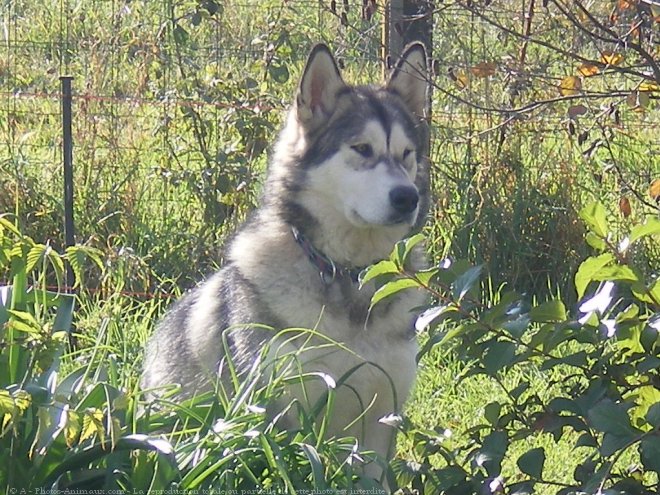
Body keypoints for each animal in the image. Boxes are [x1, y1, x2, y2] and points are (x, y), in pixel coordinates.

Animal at [142, 42, 430, 484]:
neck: (348, 279)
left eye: (406, 154)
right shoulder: (280, 414)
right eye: (362, 149)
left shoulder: (383, 414)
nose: (407, 197)